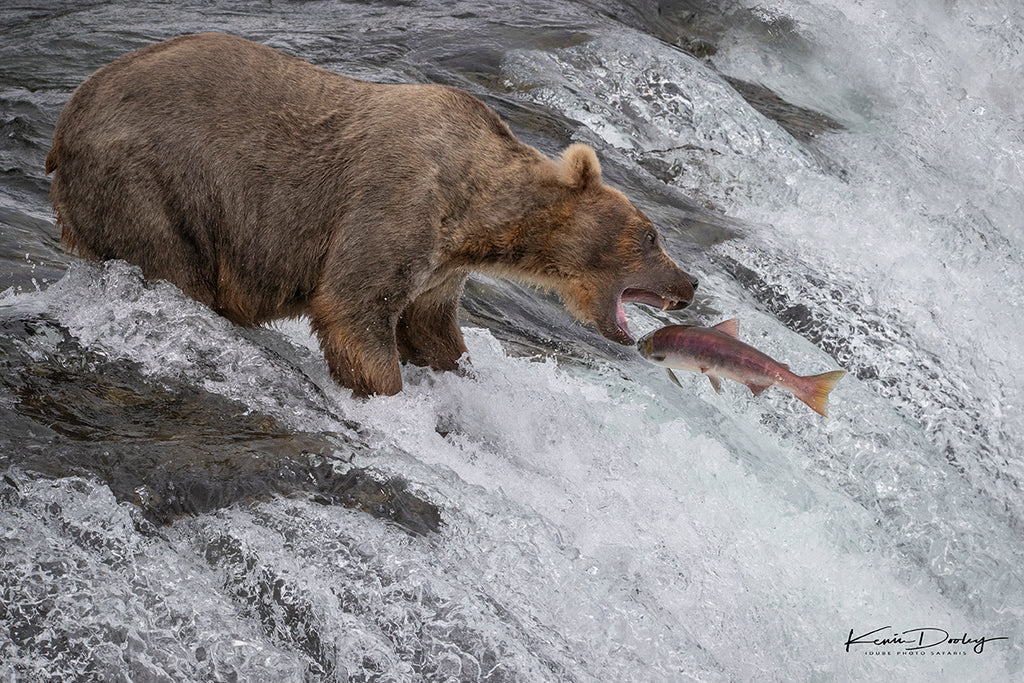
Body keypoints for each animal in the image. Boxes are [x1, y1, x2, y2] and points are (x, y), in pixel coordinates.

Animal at [51, 33, 700, 395]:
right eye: (651, 236)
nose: (690, 282)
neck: (476, 214)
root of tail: (65, 122)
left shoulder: (440, 270)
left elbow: (431, 331)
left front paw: (460, 380)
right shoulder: (397, 201)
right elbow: (354, 307)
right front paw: (387, 391)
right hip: (153, 183)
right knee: (173, 265)